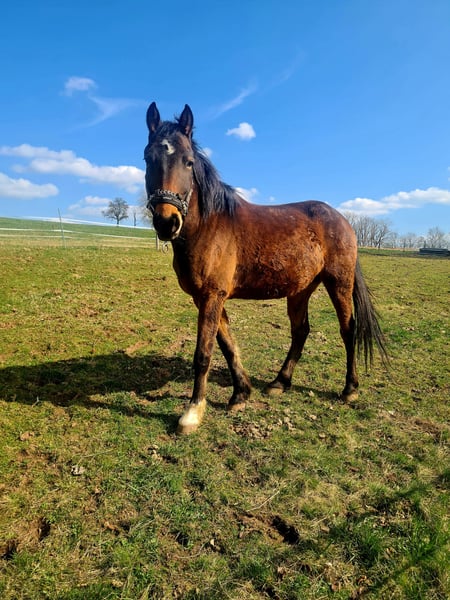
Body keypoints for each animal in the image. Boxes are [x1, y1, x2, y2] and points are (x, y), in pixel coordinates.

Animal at [144, 102, 387, 434]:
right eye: (148, 158)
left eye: (189, 162)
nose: (167, 222)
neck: (209, 226)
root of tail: (343, 220)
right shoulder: (205, 298)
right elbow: (227, 344)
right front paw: (240, 394)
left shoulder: (211, 296)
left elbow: (204, 353)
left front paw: (193, 412)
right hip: (300, 290)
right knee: (301, 331)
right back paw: (279, 382)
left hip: (339, 283)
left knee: (347, 329)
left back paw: (350, 389)